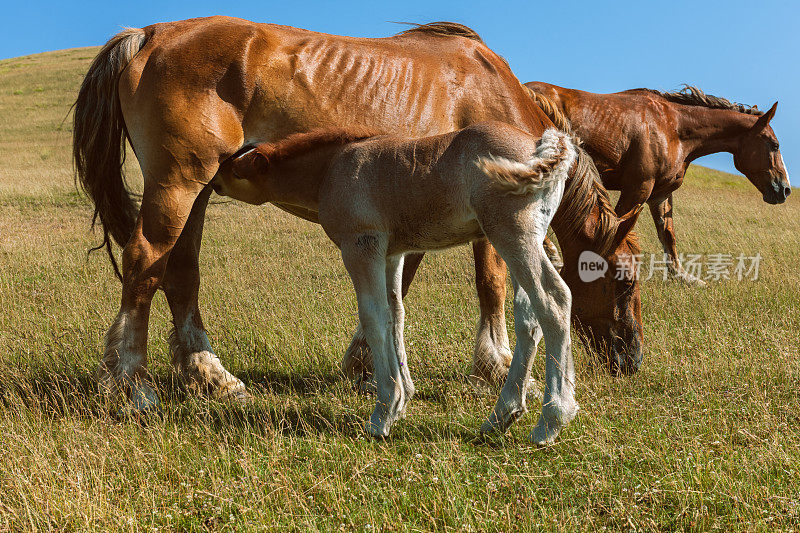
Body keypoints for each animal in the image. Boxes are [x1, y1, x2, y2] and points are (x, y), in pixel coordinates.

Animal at [209, 124, 580, 440]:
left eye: (236, 170)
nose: (213, 180)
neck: (331, 168)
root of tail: (545, 143)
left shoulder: (362, 245)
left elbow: (373, 317)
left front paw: (383, 413)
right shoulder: (392, 253)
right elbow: (395, 314)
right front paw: (403, 396)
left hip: (511, 233)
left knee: (553, 301)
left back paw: (551, 421)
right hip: (525, 238)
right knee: (528, 316)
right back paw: (502, 414)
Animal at [520, 82, 792, 282]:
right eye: (774, 144)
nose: (785, 189)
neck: (673, 128)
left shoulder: (659, 195)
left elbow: (668, 235)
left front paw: (681, 277)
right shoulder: (637, 190)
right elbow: (617, 228)